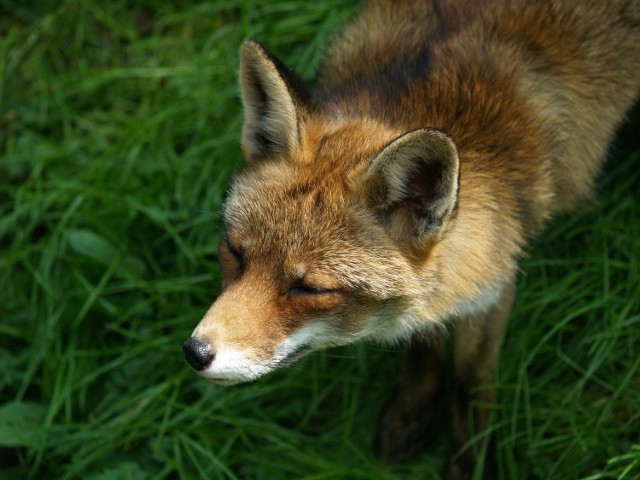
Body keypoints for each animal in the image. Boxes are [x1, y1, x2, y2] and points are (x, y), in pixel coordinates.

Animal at [180, 1, 640, 478]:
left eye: (309, 289)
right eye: (234, 252)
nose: (195, 352)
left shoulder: (494, 287)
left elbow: (470, 383)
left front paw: (470, 461)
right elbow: (423, 349)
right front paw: (412, 414)